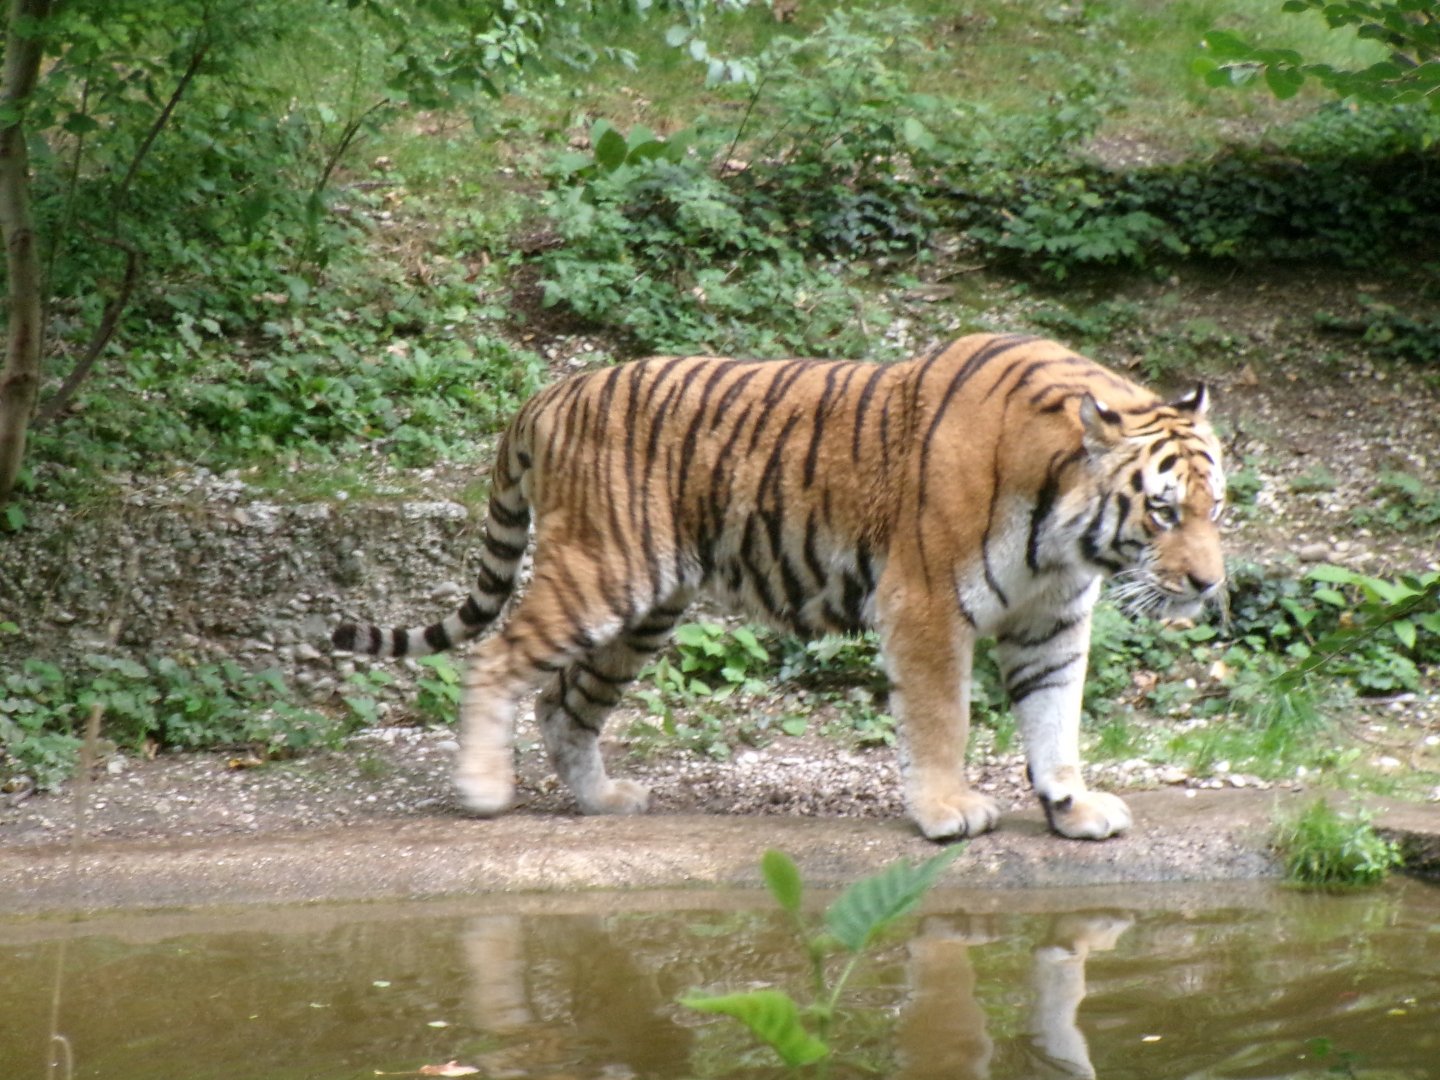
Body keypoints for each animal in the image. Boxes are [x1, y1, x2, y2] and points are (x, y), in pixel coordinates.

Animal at [333, 332, 1226, 842]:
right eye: (1162, 509)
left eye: (1216, 508)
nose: (1210, 585)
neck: (1065, 530)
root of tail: (551, 391)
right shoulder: (927, 606)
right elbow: (944, 719)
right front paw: (947, 811)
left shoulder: (1051, 622)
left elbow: (1054, 722)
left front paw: (1072, 811)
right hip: (601, 573)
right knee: (494, 660)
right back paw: (483, 792)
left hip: (648, 606)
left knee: (563, 701)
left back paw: (604, 800)